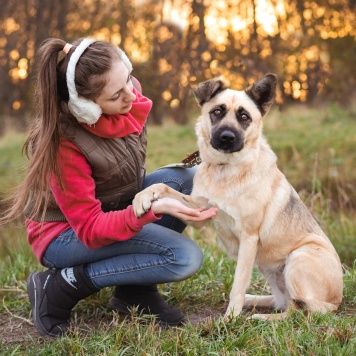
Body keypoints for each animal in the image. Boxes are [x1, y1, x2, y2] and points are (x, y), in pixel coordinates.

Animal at [132, 74, 344, 320]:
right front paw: (142, 198)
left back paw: (261, 317)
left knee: (297, 311)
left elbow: (238, 284)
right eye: (217, 111)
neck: (225, 169)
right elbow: (163, 188)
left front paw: (229, 319)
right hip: (268, 268)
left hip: (299, 256)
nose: (227, 137)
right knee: (283, 302)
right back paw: (254, 301)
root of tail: (336, 301)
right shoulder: (199, 210)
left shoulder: (249, 238)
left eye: (244, 117)